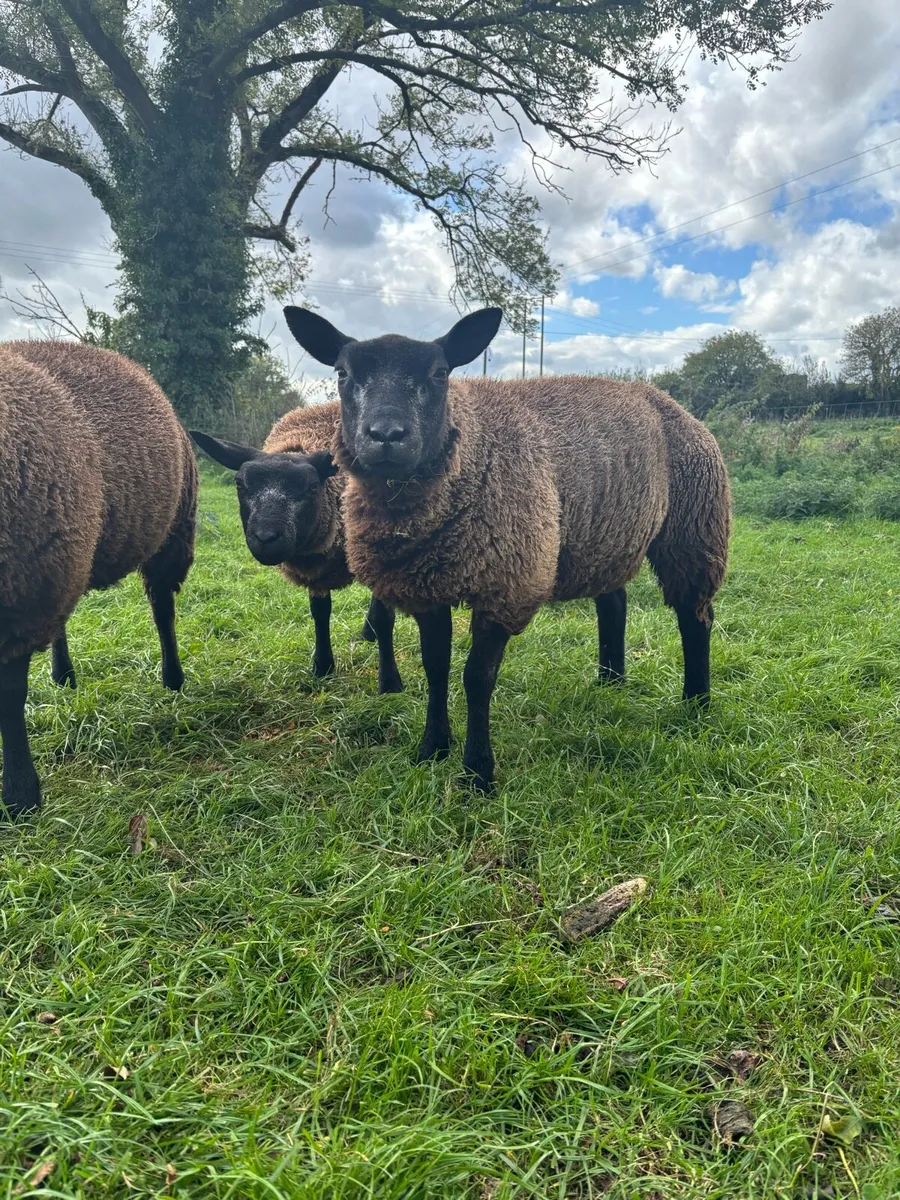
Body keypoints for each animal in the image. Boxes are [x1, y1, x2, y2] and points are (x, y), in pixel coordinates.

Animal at [0, 341, 197, 819]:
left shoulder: (22, 600)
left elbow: (9, 699)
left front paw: (20, 796)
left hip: (168, 535)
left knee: (163, 610)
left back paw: (173, 678)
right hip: (67, 550)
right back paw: (63, 675)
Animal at [189, 401, 403, 694]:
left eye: (312, 486)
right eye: (240, 484)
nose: (266, 538)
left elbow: (385, 618)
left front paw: (390, 683)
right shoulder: (316, 567)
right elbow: (320, 613)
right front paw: (323, 667)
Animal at [282, 305, 731, 792]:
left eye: (440, 373)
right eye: (343, 373)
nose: (385, 435)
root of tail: (666, 400)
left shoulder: (506, 585)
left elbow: (477, 679)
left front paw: (477, 773)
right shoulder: (427, 588)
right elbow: (435, 667)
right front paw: (432, 749)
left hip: (695, 529)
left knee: (695, 616)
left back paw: (696, 702)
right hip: (605, 534)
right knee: (614, 604)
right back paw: (610, 681)